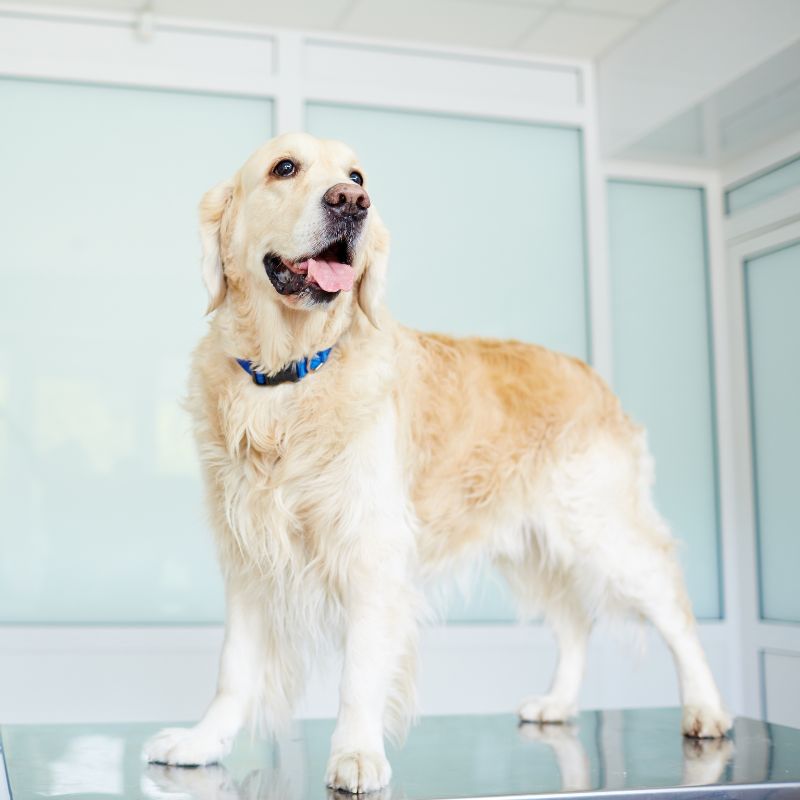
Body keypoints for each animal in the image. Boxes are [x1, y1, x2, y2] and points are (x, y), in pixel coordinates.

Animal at [144, 133, 732, 792]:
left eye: (357, 176)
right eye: (284, 167)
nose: (352, 203)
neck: (288, 379)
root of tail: (591, 374)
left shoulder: (371, 552)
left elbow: (360, 673)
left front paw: (356, 753)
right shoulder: (248, 555)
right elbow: (234, 670)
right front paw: (202, 742)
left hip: (600, 528)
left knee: (675, 611)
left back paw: (706, 707)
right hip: (531, 544)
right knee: (575, 621)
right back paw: (558, 703)